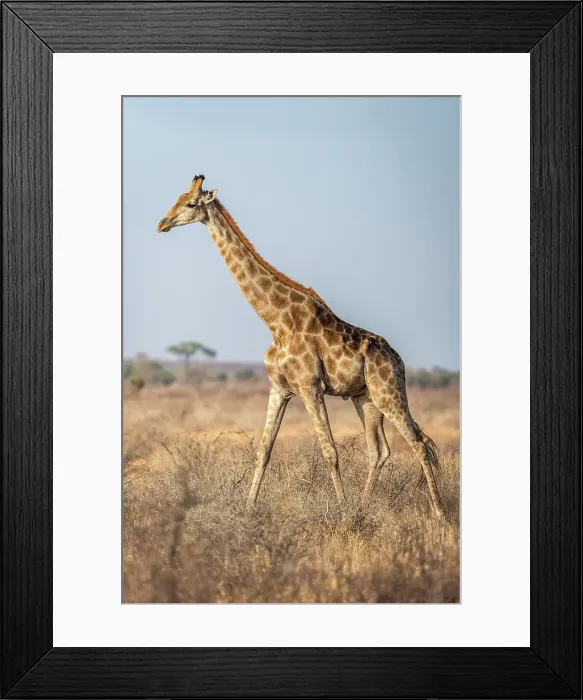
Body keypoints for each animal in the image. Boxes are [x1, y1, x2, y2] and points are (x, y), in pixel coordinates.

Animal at [158, 175, 445, 519]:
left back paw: (439, 513)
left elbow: (329, 451)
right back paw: (365, 506)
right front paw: (248, 510)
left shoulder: (310, 387)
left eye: (190, 203)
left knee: (418, 443)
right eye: (176, 199)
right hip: (366, 398)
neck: (276, 322)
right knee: (380, 450)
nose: (162, 224)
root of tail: (399, 360)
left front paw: (343, 513)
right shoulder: (279, 388)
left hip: (389, 393)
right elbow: (264, 449)